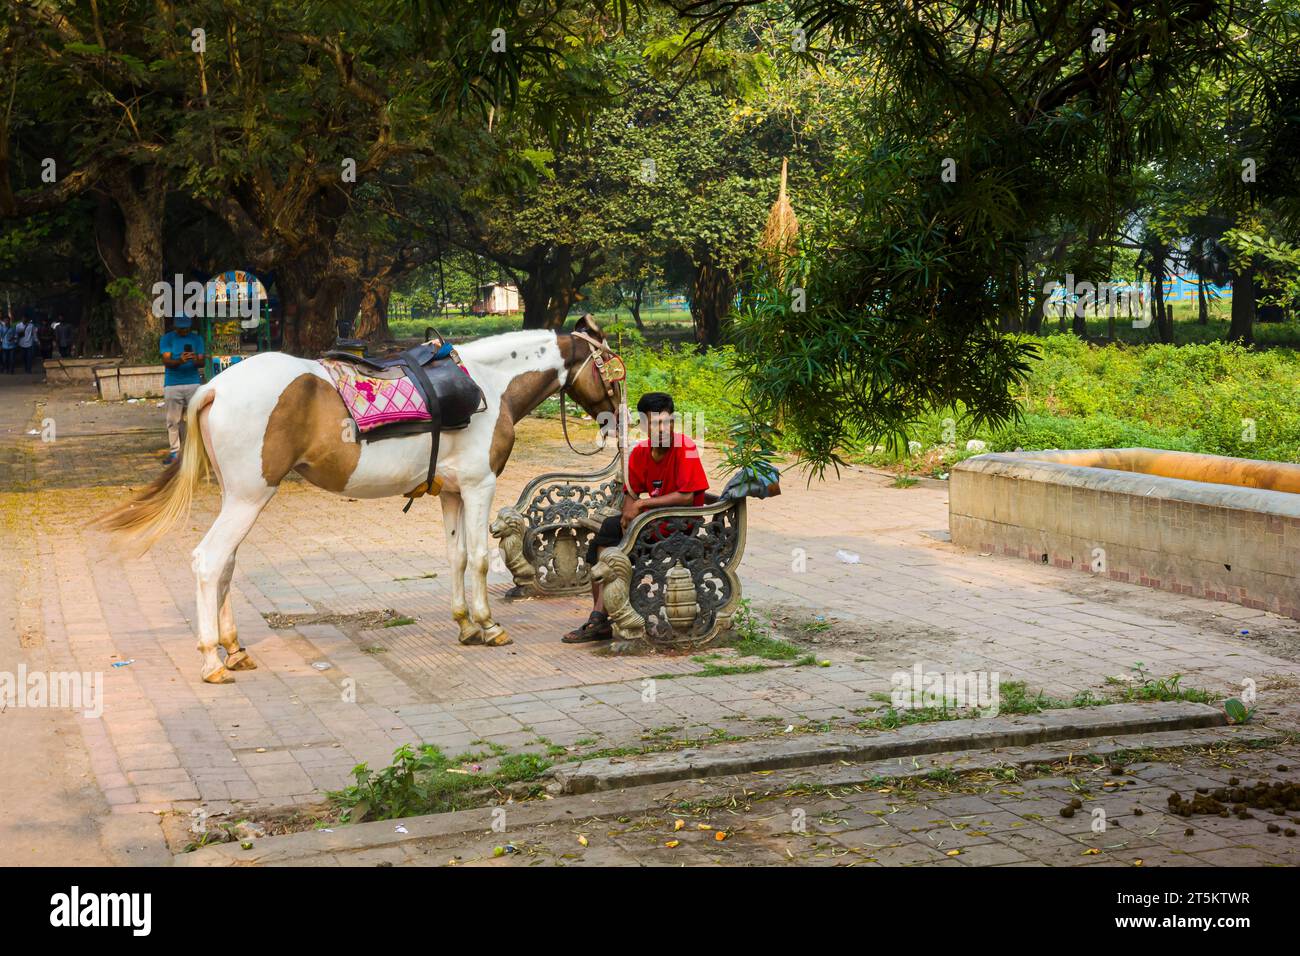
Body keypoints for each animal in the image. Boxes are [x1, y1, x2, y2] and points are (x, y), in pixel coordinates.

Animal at [96, 319, 613, 681]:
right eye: (609, 366)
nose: (613, 417)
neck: (487, 384)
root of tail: (215, 386)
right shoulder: (479, 485)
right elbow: (482, 559)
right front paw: (488, 626)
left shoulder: (451, 491)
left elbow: (457, 557)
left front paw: (464, 624)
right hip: (248, 498)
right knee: (208, 561)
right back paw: (212, 660)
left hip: (236, 498)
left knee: (225, 565)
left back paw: (235, 650)